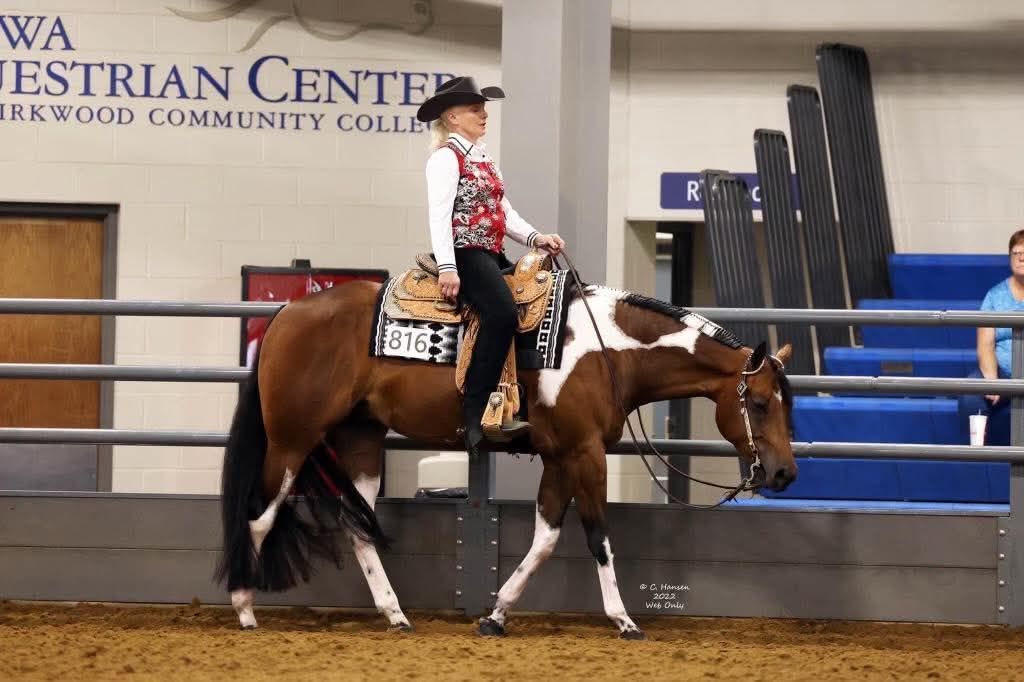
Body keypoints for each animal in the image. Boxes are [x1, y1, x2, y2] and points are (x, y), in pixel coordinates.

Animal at [216, 278, 794, 638]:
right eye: (761, 403)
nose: (785, 473)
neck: (606, 351)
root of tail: (289, 313)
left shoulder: (560, 458)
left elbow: (545, 540)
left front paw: (495, 614)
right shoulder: (586, 454)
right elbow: (599, 538)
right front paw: (625, 621)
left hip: (361, 439)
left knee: (358, 528)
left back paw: (396, 614)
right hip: (292, 440)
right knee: (258, 515)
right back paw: (243, 609)